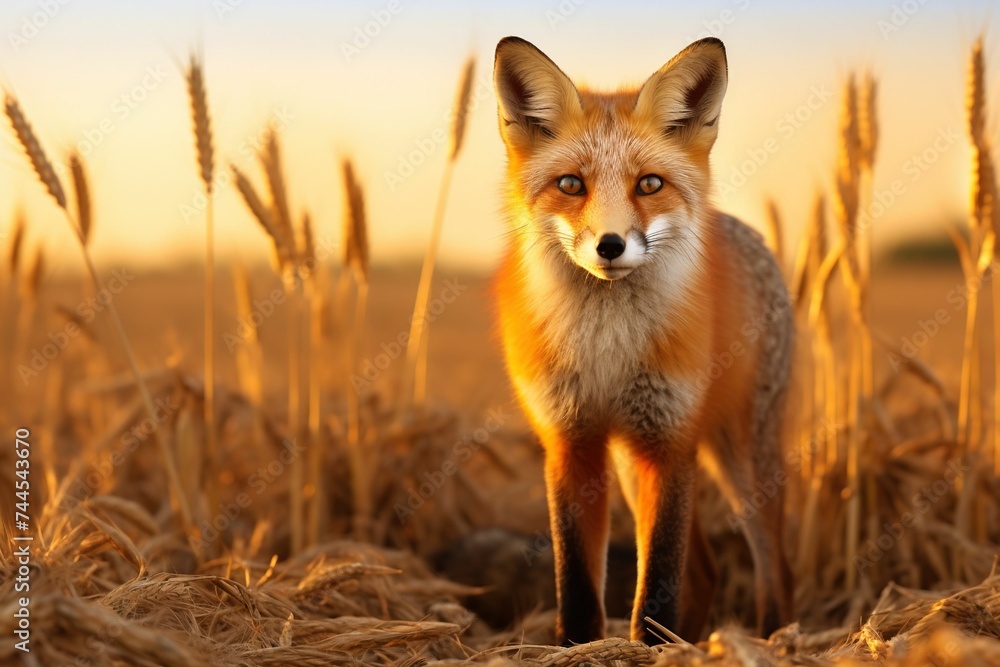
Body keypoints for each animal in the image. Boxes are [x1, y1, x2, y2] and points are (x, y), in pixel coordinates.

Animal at [491, 36, 795, 646]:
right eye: (571, 184)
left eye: (649, 184)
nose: (610, 245)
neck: (608, 348)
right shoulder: (571, 442)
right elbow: (577, 583)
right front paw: (581, 646)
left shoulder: (669, 440)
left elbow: (657, 580)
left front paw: (653, 647)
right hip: (635, 468)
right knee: (705, 571)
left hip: (741, 460)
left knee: (775, 566)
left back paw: (774, 639)